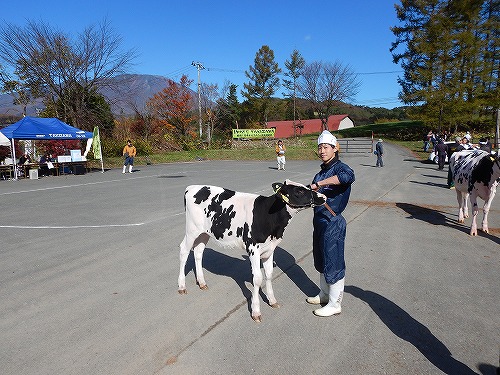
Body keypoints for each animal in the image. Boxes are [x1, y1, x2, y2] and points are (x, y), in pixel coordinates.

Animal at [178, 181, 326, 322]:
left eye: (307, 187)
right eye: (299, 191)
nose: (323, 197)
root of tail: (192, 187)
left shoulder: (270, 249)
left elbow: (269, 274)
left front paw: (272, 301)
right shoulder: (253, 248)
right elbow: (258, 279)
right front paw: (256, 311)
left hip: (204, 233)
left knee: (198, 252)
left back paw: (202, 283)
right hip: (192, 230)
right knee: (184, 250)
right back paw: (182, 286)